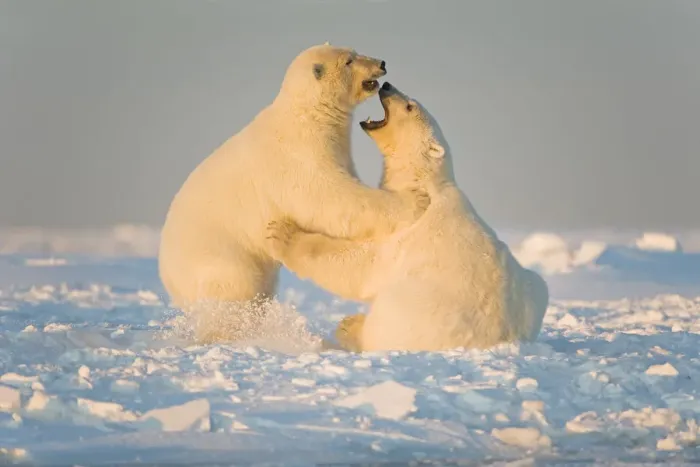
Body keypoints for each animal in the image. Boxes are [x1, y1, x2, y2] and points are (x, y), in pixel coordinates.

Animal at [158, 44, 429, 344]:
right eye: (349, 60)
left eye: (356, 51)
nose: (381, 63)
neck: (308, 115)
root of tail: (167, 275)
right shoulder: (299, 156)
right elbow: (334, 199)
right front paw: (416, 200)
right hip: (221, 254)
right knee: (234, 293)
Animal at [266, 82, 549, 352]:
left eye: (410, 106)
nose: (387, 85)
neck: (421, 181)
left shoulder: (407, 228)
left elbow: (359, 265)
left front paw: (280, 233)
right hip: (537, 290)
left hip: (409, 309)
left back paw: (350, 327)